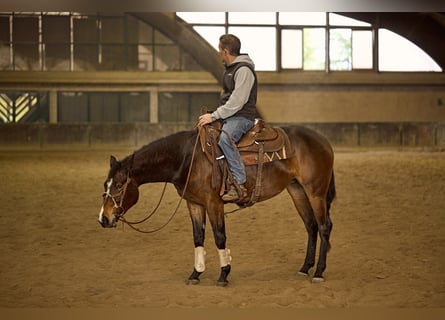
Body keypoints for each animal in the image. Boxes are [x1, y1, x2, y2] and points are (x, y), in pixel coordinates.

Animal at [97, 124, 332, 286]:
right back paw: (305, 268)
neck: (187, 158)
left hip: (316, 193)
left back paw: (319, 272)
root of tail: (323, 140)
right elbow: (198, 237)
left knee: (323, 227)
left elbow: (220, 237)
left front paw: (223, 274)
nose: (103, 218)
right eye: (105, 184)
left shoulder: (213, 203)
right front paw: (195, 274)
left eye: (119, 185)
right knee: (311, 226)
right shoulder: (194, 203)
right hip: (297, 190)